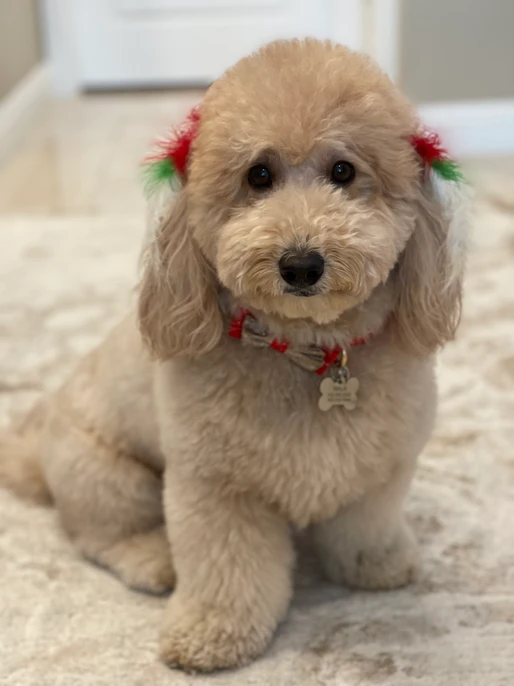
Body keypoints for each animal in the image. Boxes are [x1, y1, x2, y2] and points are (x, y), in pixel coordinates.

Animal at [0, 39, 466, 672]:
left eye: (343, 171)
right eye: (258, 175)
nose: (301, 264)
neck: (306, 353)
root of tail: (33, 451)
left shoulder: (378, 470)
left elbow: (365, 525)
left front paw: (377, 563)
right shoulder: (216, 489)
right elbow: (228, 570)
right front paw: (211, 634)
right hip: (105, 475)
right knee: (100, 537)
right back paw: (154, 560)